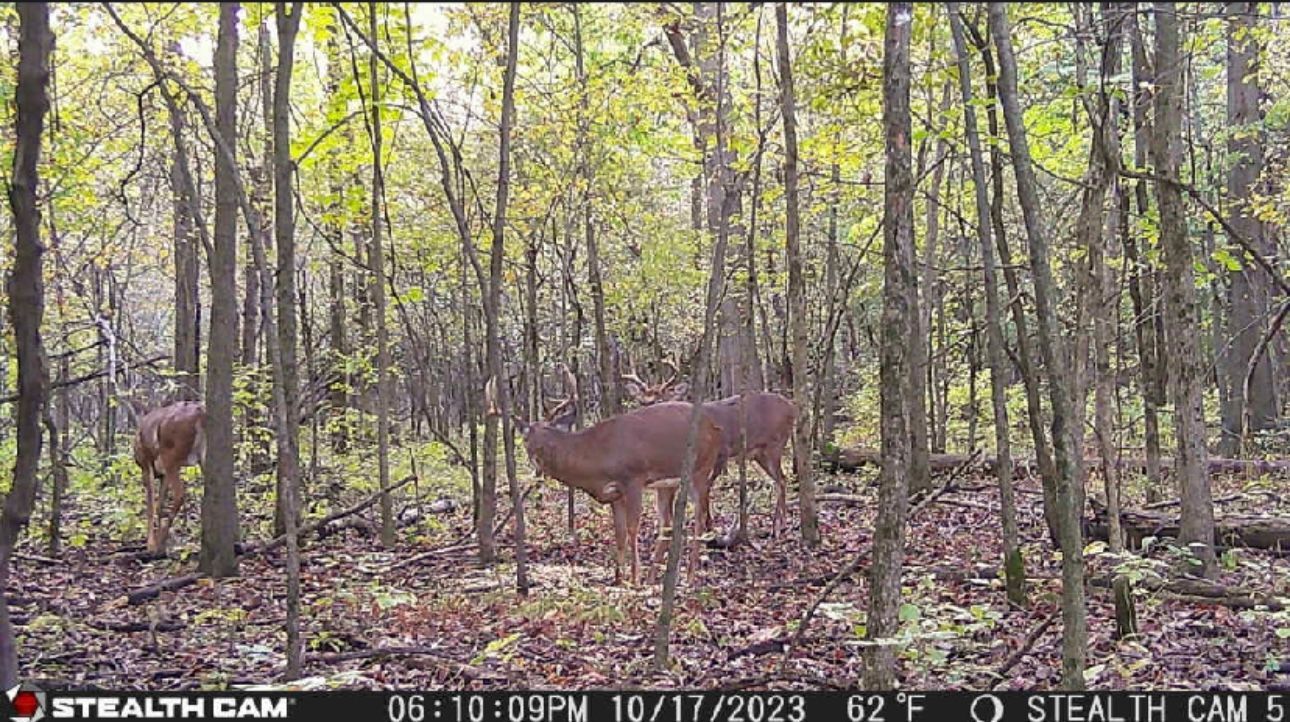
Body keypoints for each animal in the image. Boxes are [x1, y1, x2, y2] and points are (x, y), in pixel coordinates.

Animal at [133, 400, 206, 554]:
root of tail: (201, 413)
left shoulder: (146, 465)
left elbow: (151, 506)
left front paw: (150, 544)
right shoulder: (163, 475)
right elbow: (160, 505)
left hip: (170, 456)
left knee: (180, 494)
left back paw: (160, 542)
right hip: (203, 458)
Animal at [486, 366, 723, 586]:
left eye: (550, 440)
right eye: (526, 439)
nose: (536, 459)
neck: (596, 460)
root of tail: (712, 424)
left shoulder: (633, 478)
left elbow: (632, 527)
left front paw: (634, 579)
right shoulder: (614, 493)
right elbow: (619, 533)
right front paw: (619, 579)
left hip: (701, 468)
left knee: (700, 516)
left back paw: (690, 576)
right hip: (666, 484)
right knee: (667, 522)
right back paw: (654, 578)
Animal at [622, 358, 798, 537]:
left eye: (662, 399)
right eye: (643, 402)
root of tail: (791, 406)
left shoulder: (718, 454)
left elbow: (704, 490)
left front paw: (708, 526)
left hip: (775, 444)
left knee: (781, 480)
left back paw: (779, 525)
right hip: (760, 453)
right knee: (780, 479)